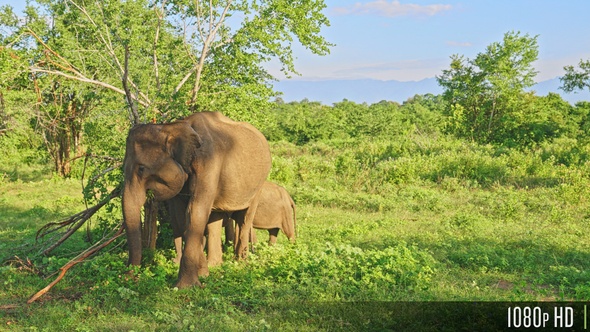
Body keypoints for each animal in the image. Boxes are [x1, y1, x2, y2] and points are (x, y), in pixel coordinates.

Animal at [125, 111, 272, 288]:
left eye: (141, 169)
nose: (131, 278)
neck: (174, 126)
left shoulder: (209, 163)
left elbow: (195, 210)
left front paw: (185, 287)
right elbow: (182, 217)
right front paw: (203, 275)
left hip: (259, 183)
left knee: (245, 219)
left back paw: (240, 264)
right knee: (215, 219)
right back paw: (215, 265)